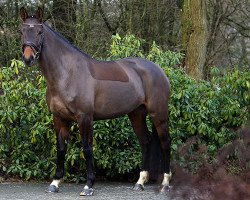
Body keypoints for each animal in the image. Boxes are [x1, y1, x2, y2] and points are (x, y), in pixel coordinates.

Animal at [20, 7, 172, 195]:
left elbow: (87, 148)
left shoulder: (85, 117)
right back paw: (140, 182)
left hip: (159, 114)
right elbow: (61, 149)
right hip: (136, 114)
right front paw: (55, 183)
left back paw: (165, 183)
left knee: (165, 143)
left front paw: (88, 185)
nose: (28, 58)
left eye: (39, 32)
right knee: (146, 142)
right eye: (21, 31)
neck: (67, 74)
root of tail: (159, 70)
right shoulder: (59, 118)